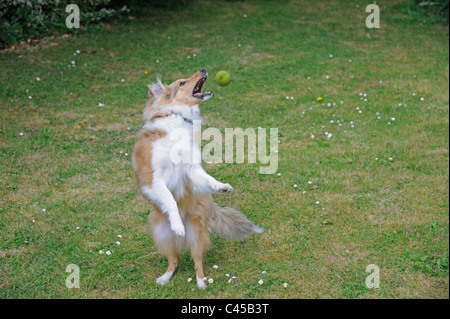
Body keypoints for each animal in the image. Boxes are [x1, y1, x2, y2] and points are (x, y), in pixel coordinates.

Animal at [132, 70, 262, 290]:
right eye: (182, 83)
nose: (203, 70)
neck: (177, 120)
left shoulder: (191, 169)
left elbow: (207, 177)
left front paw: (221, 186)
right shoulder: (154, 178)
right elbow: (169, 199)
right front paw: (177, 223)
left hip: (197, 234)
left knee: (197, 261)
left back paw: (201, 282)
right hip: (162, 235)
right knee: (174, 260)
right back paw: (165, 277)